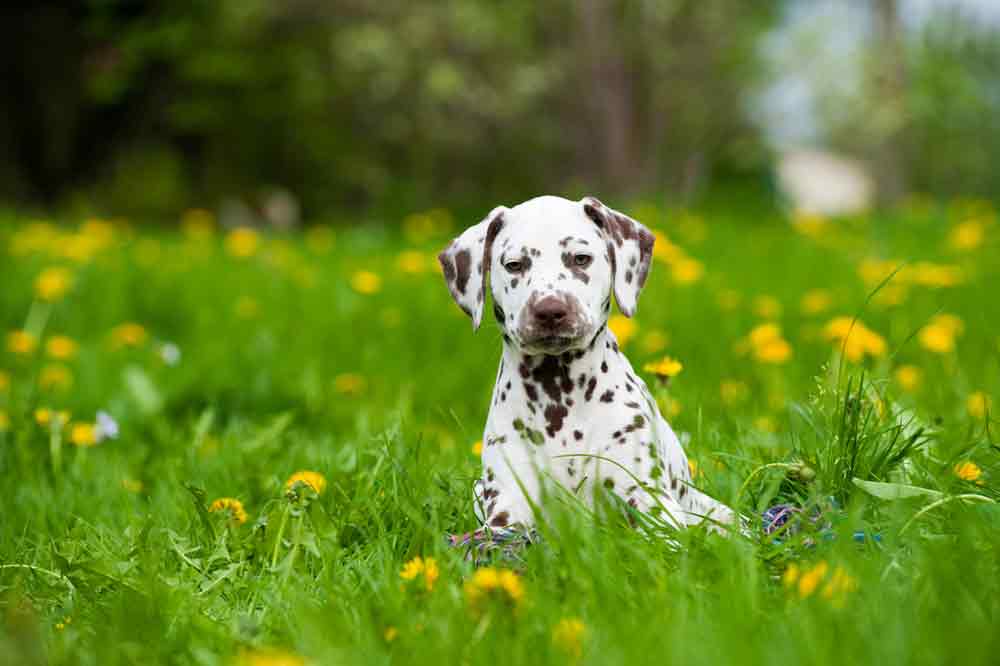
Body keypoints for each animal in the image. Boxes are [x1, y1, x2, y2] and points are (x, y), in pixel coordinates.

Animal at [438, 195, 736, 532]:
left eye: (580, 259)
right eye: (514, 265)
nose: (550, 310)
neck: (559, 396)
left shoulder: (648, 499)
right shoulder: (506, 508)